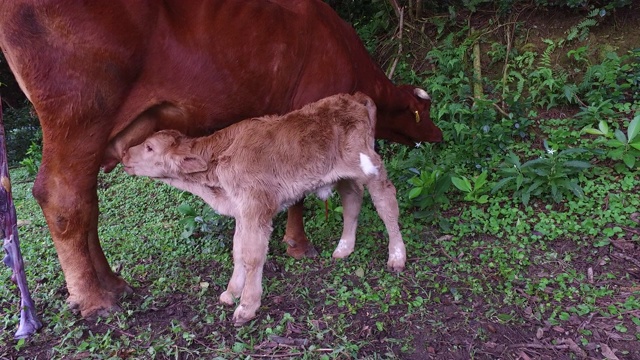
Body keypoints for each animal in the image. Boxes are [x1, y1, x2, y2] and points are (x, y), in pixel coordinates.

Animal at [120, 92, 404, 324]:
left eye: (149, 147)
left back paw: (397, 256)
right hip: (344, 174)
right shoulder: (241, 210)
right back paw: (344, 248)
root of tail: (354, 97)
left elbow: (253, 255)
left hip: (368, 164)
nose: (123, 154)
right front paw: (231, 292)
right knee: (352, 199)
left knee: (386, 200)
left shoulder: (256, 207)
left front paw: (246, 306)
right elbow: (238, 250)